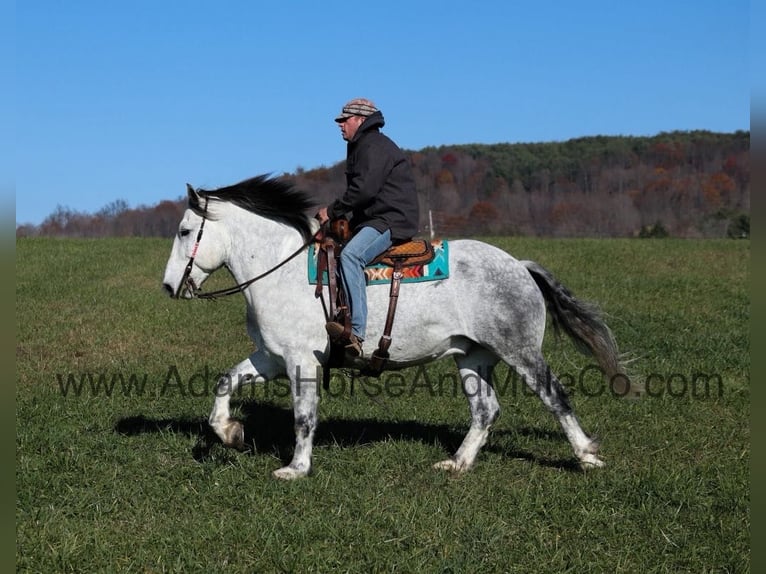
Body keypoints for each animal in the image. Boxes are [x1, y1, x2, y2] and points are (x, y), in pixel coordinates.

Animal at [162, 174, 634, 480]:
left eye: (184, 230)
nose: (169, 286)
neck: (284, 270)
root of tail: (519, 265)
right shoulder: (271, 357)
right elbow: (226, 382)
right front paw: (230, 433)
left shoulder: (301, 361)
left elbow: (304, 417)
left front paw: (296, 468)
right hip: (472, 356)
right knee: (485, 410)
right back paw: (458, 464)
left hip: (520, 351)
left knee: (555, 397)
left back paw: (586, 457)